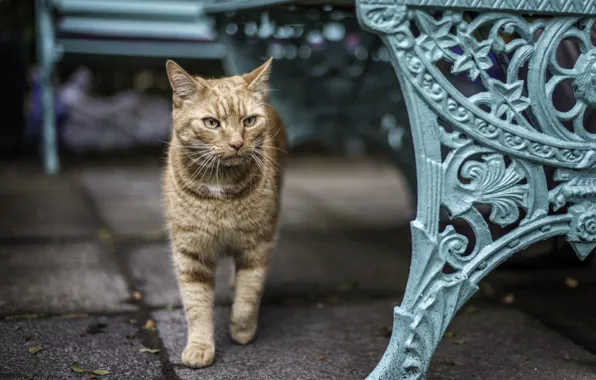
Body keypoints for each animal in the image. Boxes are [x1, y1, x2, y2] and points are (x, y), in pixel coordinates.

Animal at [162, 58, 286, 368]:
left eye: (249, 121)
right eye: (211, 123)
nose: (237, 143)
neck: (221, 188)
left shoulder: (258, 243)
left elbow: (248, 294)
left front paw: (242, 331)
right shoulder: (190, 252)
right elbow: (196, 304)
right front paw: (199, 348)